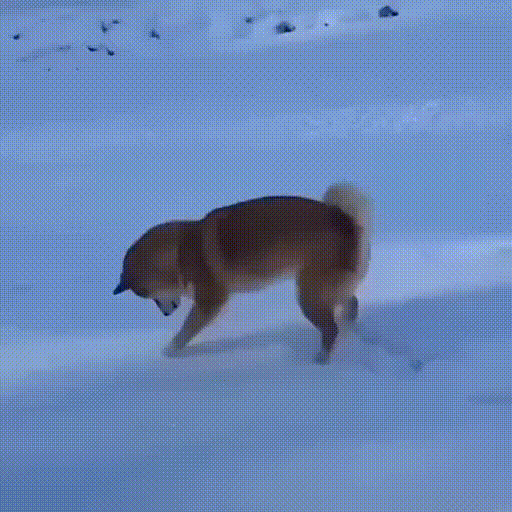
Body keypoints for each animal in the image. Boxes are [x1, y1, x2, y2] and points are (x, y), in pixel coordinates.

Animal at [113, 183, 371, 364]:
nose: (166, 314)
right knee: (352, 304)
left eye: (146, 295)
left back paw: (321, 360)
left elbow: (186, 330)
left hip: (310, 296)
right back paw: (348, 329)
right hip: (329, 290)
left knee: (331, 329)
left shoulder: (209, 302)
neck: (178, 254)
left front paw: (170, 350)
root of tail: (346, 221)